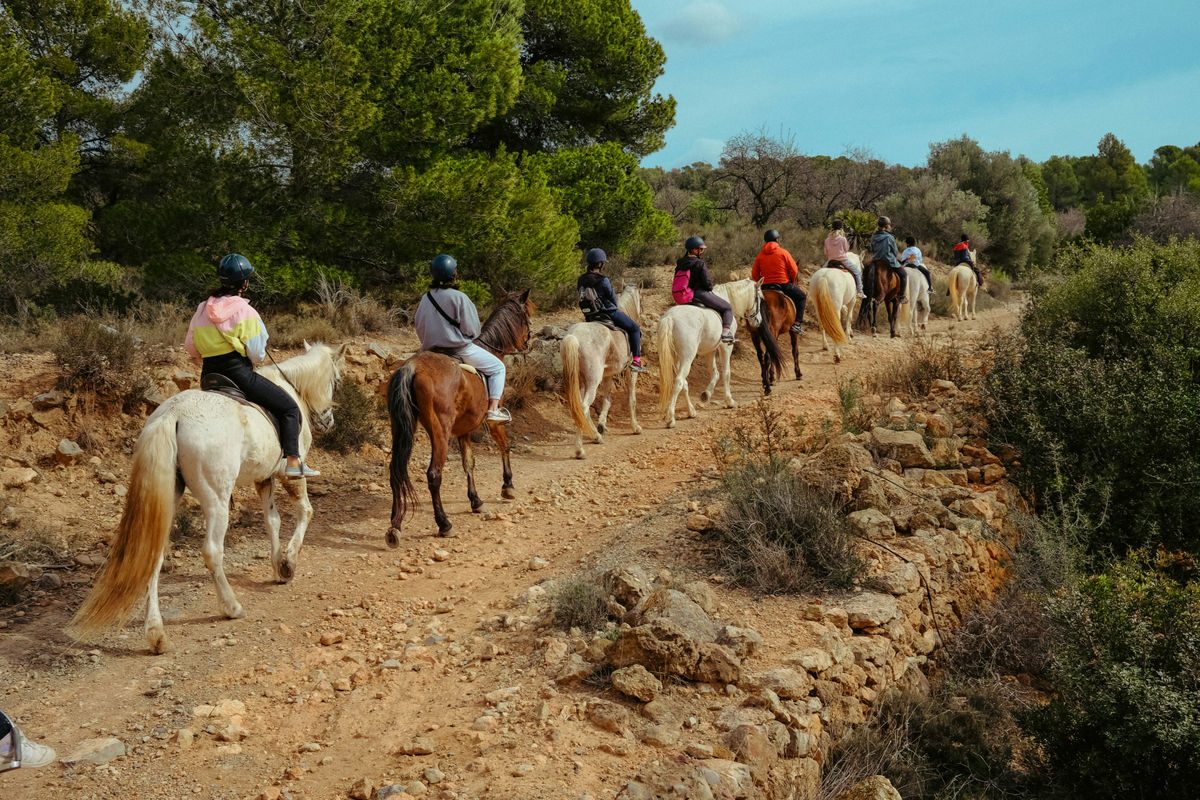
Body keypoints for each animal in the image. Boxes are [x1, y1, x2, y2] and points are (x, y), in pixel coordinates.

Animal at [69, 340, 345, 652]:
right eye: (337, 381)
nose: (328, 421)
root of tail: (173, 414)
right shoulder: (288, 475)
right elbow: (305, 512)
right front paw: (287, 564)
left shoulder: (264, 478)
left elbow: (272, 521)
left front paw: (278, 566)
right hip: (216, 501)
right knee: (213, 551)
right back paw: (231, 607)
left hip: (169, 499)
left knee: (154, 556)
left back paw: (156, 633)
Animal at [386, 289, 532, 544]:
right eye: (526, 316)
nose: (528, 341)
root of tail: (411, 368)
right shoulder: (493, 423)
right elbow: (504, 446)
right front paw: (508, 486)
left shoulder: (464, 430)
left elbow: (468, 463)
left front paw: (476, 501)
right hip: (440, 432)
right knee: (434, 475)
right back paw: (444, 524)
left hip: (402, 427)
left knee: (396, 470)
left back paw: (395, 527)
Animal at [564, 283, 648, 455]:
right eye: (641, 298)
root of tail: (574, 337)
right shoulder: (631, 372)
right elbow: (631, 399)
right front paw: (635, 427)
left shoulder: (608, 375)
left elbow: (607, 400)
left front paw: (602, 425)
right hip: (592, 381)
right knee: (584, 407)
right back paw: (580, 450)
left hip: (580, 381)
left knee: (579, 408)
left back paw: (595, 436)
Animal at [657, 278, 758, 429]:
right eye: (759, 298)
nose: (757, 322)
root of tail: (670, 318)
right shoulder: (725, 347)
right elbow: (726, 373)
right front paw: (729, 401)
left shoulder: (709, 350)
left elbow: (714, 373)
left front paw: (706, 394)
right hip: (687, 357)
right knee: (679, 381)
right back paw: (671, 419)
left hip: (677, 359)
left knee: (684, 382)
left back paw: (691, 411)